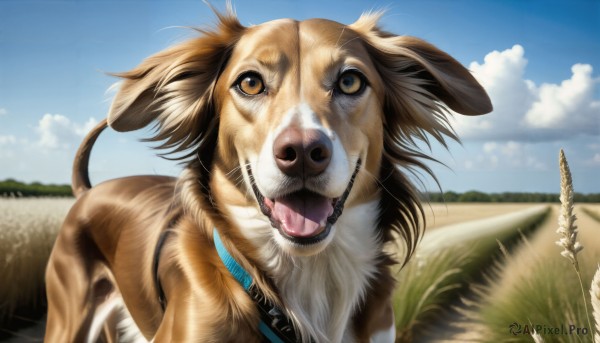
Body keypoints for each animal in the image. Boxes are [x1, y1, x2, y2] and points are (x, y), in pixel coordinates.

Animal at [43, 8, 492, 343]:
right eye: (250, 83)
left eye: (350, 81)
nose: (303, 154)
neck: (309, 277)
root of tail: (88, 191)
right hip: (67, 320)